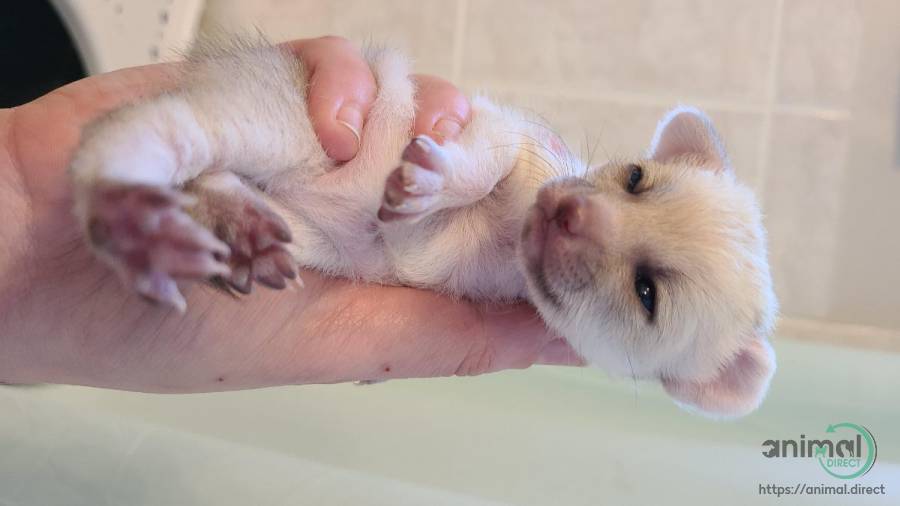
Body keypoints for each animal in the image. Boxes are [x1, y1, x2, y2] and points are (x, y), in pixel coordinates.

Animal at [70, 41, 776, 418]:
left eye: (648, 294)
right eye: (635, 177)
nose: (565, 212)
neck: (503, 237)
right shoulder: (504, 130)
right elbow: (482, 155)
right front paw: (438, 179)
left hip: (289, 216)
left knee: (206, 175)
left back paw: (222, 218)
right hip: (261, 118)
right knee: (143, 136)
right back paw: (130, 216)